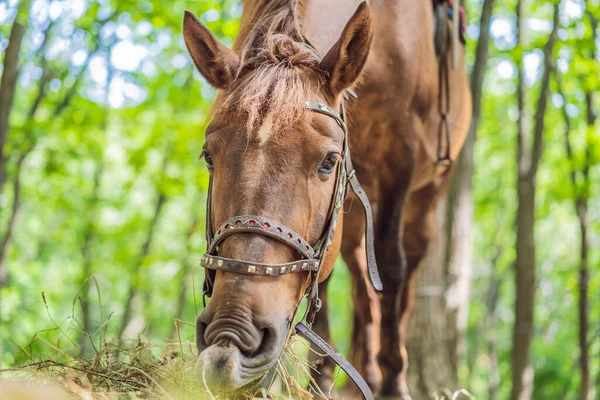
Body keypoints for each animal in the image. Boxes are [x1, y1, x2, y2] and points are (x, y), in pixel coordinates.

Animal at [180, 0, 472, 396]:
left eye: (329, 161)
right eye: (209, 156)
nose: (232, 334)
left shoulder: (400, 160)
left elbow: (391, 269)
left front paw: (394, 381)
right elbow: (326, 279)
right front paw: (321, 377)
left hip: (426, 197)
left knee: (404, 276)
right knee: (363, 289)